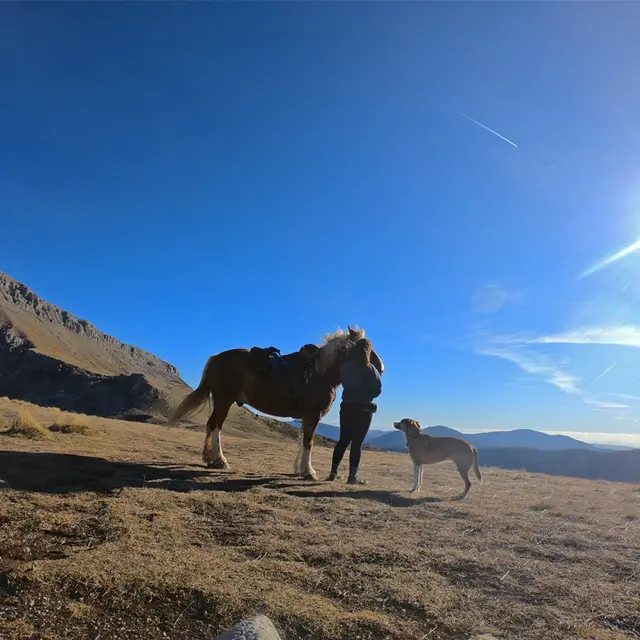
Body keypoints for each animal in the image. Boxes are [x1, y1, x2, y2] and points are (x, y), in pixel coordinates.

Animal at [168, 324, 382, 480]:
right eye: (366, 347)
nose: (380, 368)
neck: (320, 373)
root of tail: (216, 358)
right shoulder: (313, 415)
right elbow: (309, 441)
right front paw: (308, 472)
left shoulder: (306, 417)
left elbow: (302, 440)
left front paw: (299, 469)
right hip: (223, 400)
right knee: (215, 426)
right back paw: (220, 460)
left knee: (211, 424)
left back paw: (209, 458)